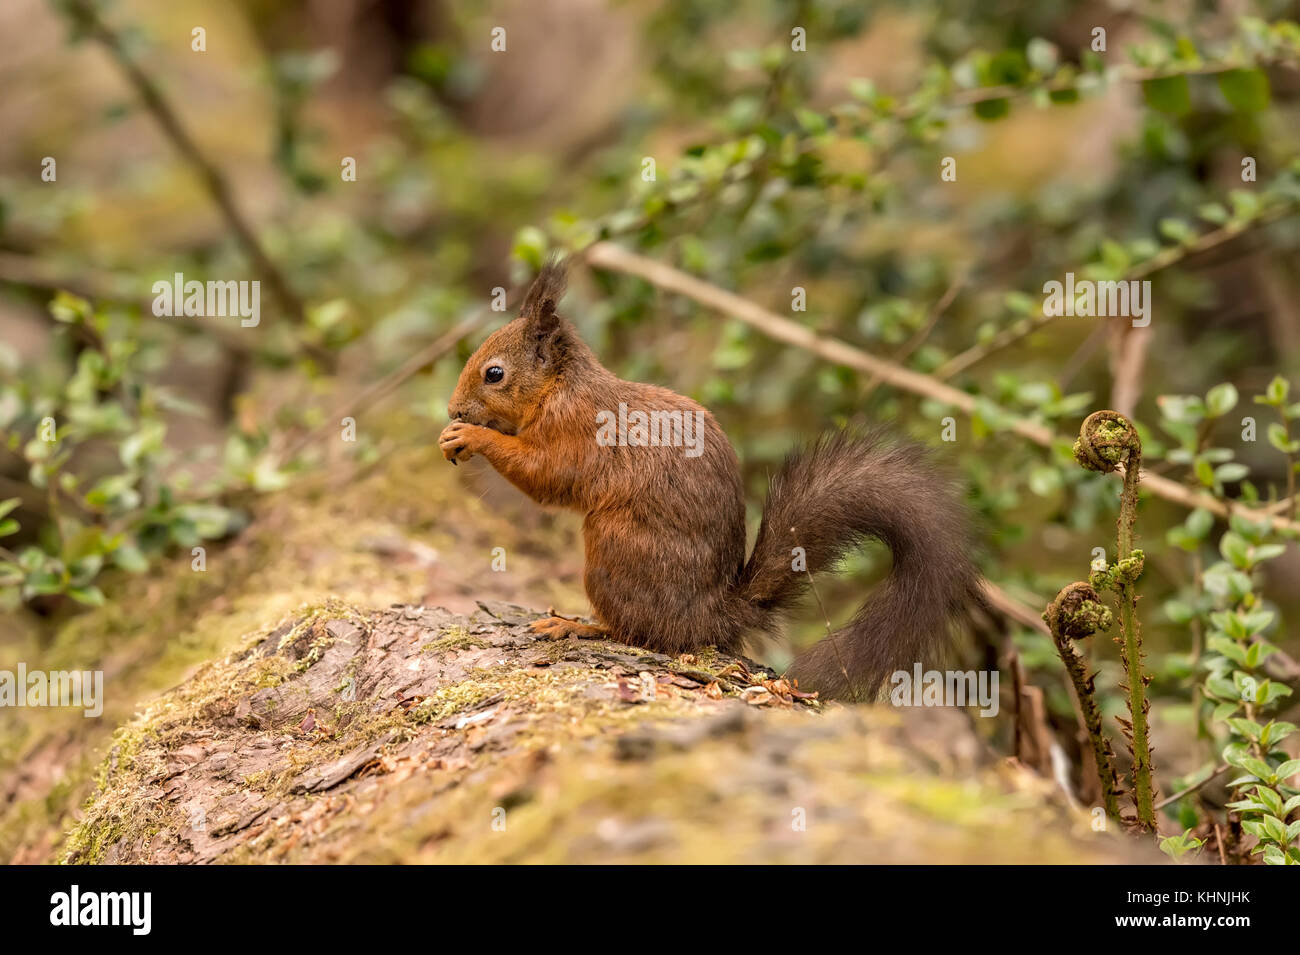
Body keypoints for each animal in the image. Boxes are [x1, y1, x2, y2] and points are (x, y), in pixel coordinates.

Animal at [441, 257, 977, 696]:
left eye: (494, 373)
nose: (453, 409)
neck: (558, 387)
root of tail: (713, 616)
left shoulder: (575, 432)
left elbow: (548, 475)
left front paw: (470, 436)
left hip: (615, 547)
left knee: (643, 634)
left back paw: (583, 626)